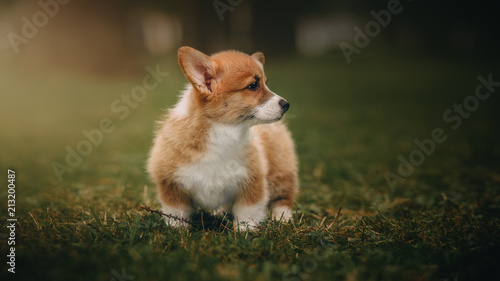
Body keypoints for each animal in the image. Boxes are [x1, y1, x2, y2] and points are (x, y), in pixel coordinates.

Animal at [146, 46, 298, 230]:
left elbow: (247, 212)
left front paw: (245, 232)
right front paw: (177, 230)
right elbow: (176, 212)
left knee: (282, 199)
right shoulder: (170, 185)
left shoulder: (252, 182)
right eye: (253, 86)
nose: (286, 105)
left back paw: (283, 218)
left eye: (265, 83)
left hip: (280, 172)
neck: (223, 130)